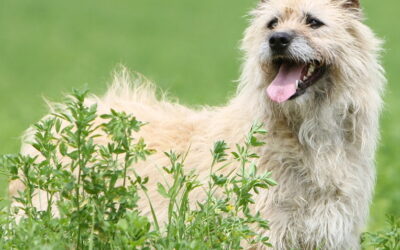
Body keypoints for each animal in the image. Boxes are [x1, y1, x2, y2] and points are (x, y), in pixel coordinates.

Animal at [9, 0, 384, 248]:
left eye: (314, 22)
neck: (306, 133)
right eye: (272, 22)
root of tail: (61, 114)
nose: (278, 40)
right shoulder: (259, 233)